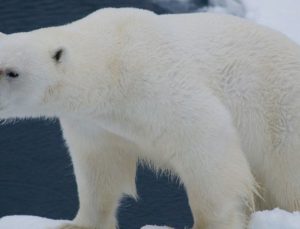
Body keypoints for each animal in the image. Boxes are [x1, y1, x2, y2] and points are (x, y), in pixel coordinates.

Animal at [0, 7, 300, 229]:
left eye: (13, 72)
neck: (111, 59)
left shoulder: (158, 81)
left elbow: (206, 143)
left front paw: (209, 223)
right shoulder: (95, 124)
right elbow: (99, 168)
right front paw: (77, 224)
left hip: (283, 119)